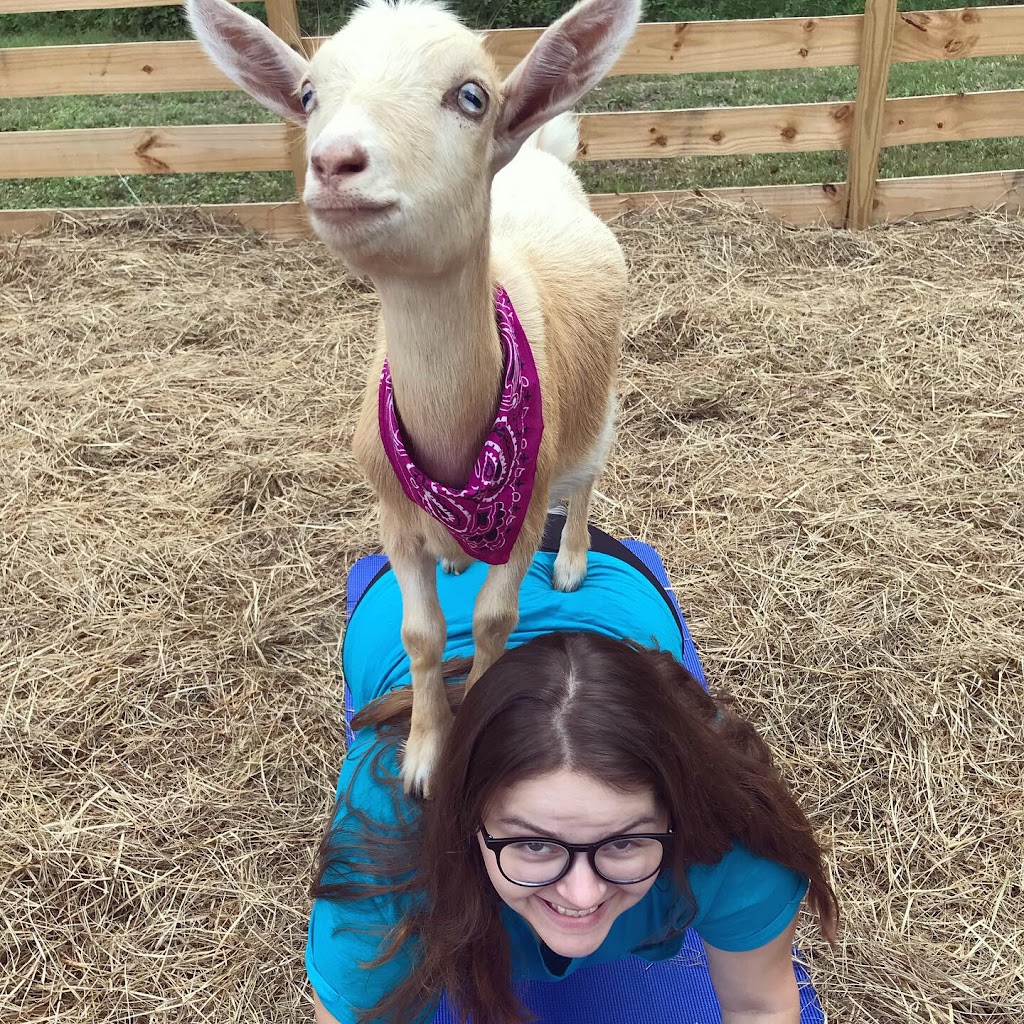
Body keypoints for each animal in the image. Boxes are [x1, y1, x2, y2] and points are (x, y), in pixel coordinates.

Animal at [186, 0, 641, 795]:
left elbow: (493, 622)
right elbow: (422, 634)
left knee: (587, 480)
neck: (455, 441)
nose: (334, 162)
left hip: (599, 406)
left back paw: (574, 561)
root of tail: (537, 155)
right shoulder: (393, 514)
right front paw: (424, 753)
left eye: (472, 96)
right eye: (308, 93)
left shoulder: (523, 514)